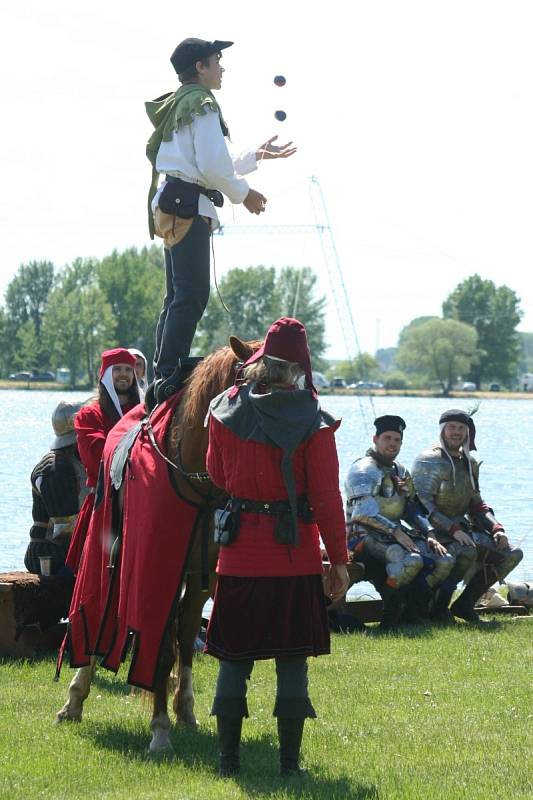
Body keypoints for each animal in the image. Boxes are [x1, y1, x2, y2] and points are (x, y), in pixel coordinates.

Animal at [55, 338, 258, 756]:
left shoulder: (203, 577)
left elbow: (184, 637)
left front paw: (183, 712)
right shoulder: (156, 568)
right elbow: (161, 646)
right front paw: (160, 729)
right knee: (94, 610)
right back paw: (75, 697)